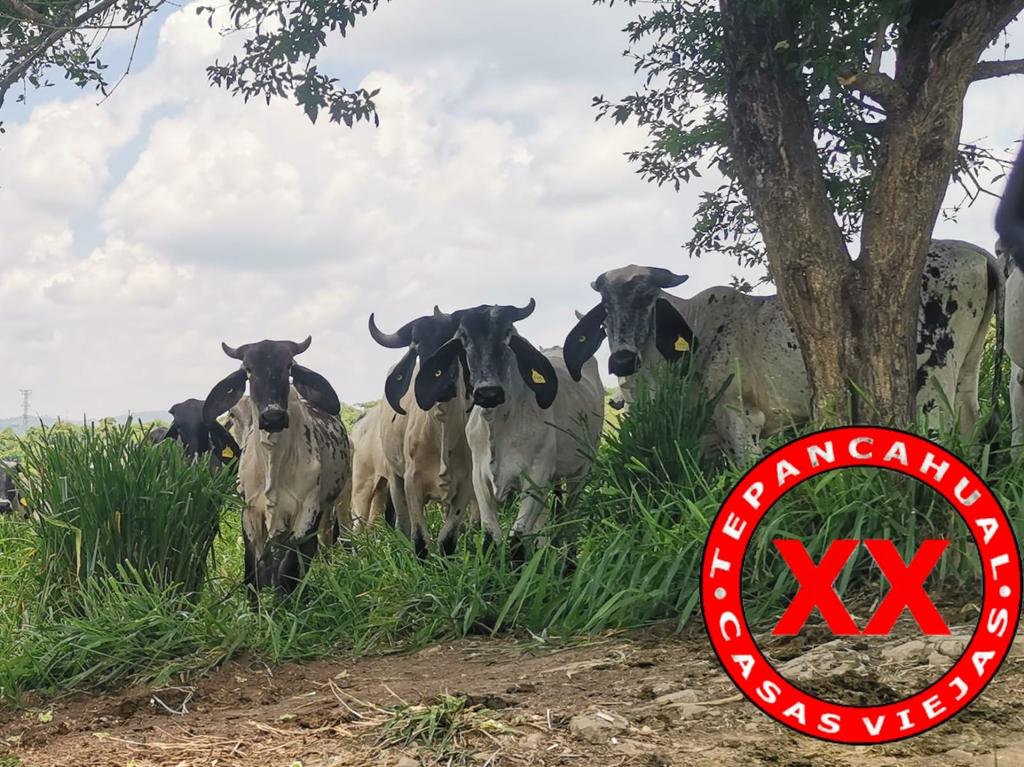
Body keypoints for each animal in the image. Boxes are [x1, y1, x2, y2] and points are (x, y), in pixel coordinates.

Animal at [202, 337, 352, 597]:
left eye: (289, 366)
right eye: (248, 369)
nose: (273, 416)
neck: (273, 462)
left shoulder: (306, 511)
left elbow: (288, 569)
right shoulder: (250, 511)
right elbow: (253, 571)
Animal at [368, 307, 476, 556]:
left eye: (454, 343)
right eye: (419, 344)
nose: (443, 385)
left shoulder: (464, 484)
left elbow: (448, 539)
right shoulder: (411, 482)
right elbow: (419, 540)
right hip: (394, 478)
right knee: (402, 523)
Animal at [414, 300, 604, 555]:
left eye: (508, 334)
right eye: (464, 337)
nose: (488, 392)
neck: (498, 425)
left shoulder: (536, 477)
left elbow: (517, 541)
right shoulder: (479, 479)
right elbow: (490, 538)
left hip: (582, 469)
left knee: (570, 520)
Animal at [564, 241, 1000, 461]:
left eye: (649, 298)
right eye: (605, 309)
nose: (621, 359)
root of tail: (978, 253)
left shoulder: (740, 418)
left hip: (930, 383)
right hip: (966, 373)